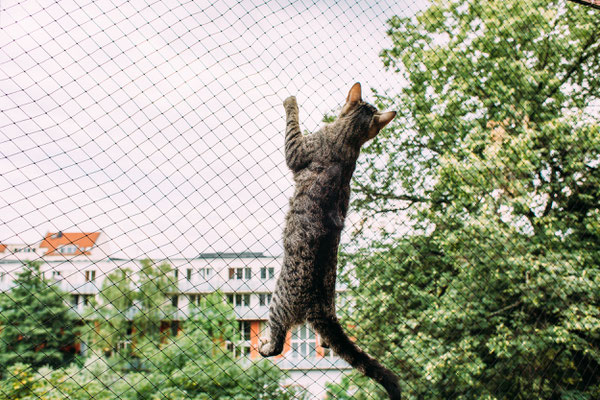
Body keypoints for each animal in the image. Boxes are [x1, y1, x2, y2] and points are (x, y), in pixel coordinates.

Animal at [260, 83, 400, 398]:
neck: (347, 143)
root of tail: (322, 307)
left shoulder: (298, 149)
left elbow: (292, 124)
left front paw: (291, 101)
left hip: (277, 302)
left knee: (277, 339)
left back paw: (265, 346)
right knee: (326, 339)